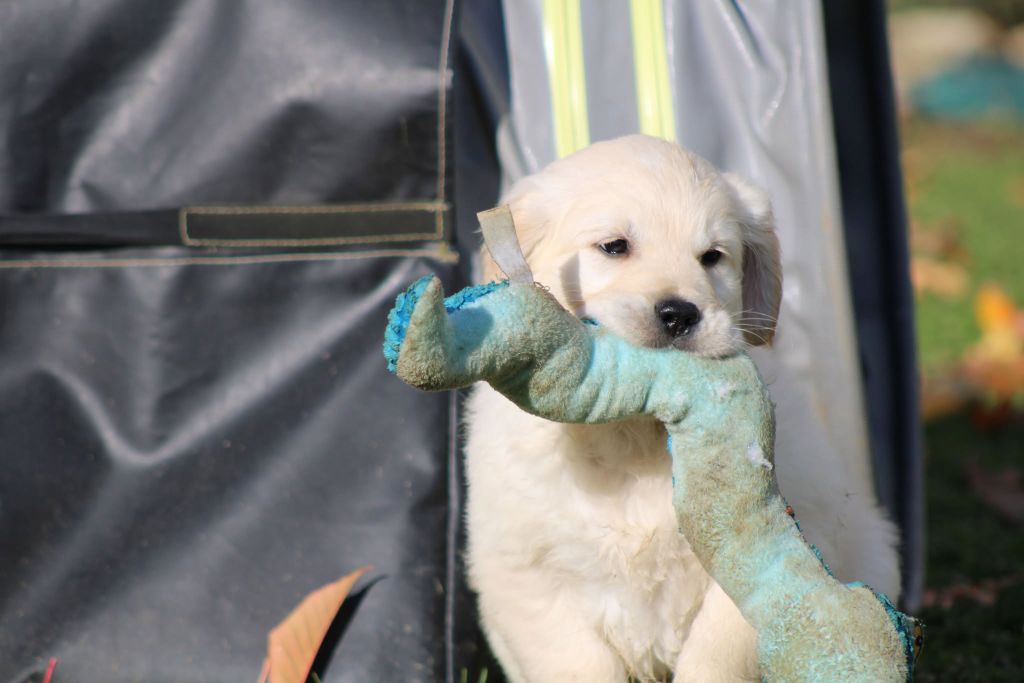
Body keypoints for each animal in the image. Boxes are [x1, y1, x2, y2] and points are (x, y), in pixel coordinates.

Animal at [460, 135, 901, 683]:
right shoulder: (526, 572)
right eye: (614, 246)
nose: (678, 315)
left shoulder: (764, 558)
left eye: (712, 257)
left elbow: (716, 653)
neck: (631, 431)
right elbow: (576, 661)